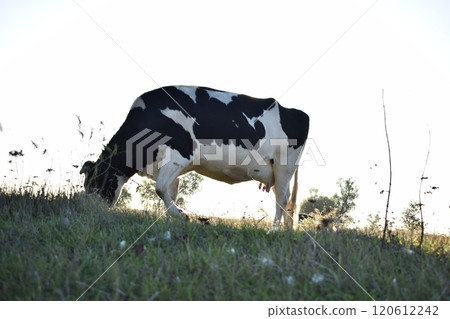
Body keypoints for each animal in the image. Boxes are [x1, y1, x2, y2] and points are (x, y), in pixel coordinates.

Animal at [80, 85, 310, 230]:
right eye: (87, 184)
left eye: (98, 181)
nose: (92, 212)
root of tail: (296, 111)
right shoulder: (172, 166)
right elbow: (170, 192)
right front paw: (172, 220)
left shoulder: (180, 154)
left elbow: (160, 188)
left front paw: (182, 215)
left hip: (284, 165)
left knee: (282, 198)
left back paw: (273, 230)